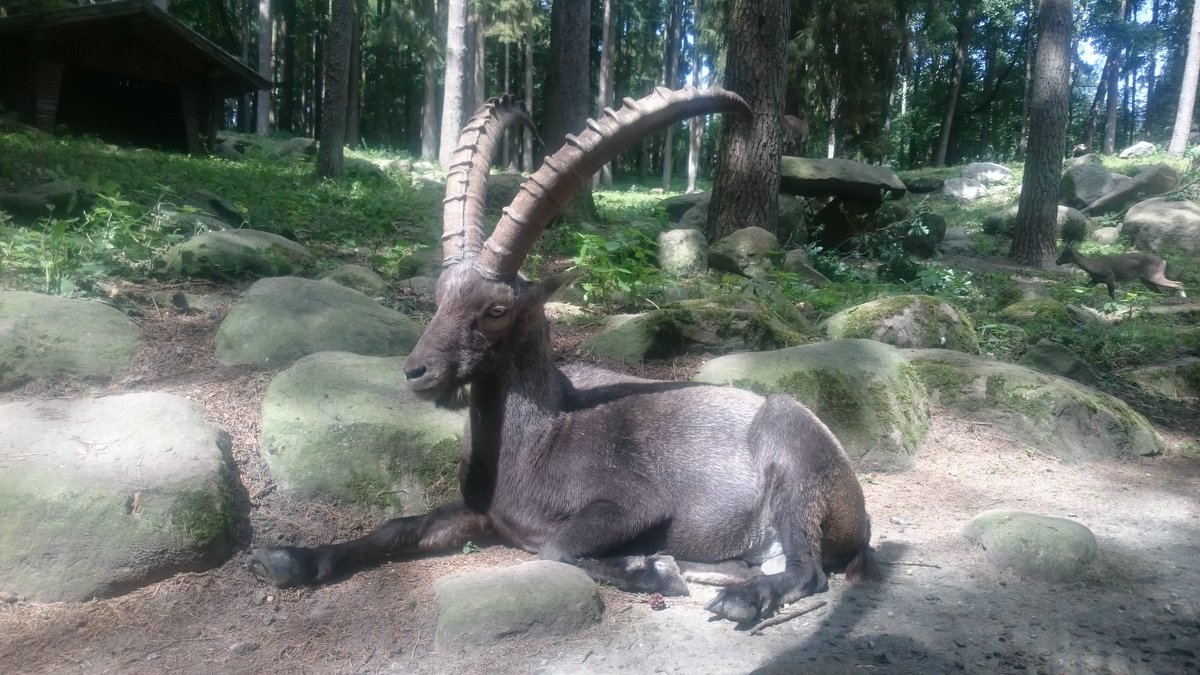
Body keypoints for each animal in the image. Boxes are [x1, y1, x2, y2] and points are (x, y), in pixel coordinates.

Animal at [249, 87, 876, 625]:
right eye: (440, 295)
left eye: (497, 309)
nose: (417, 371)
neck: (532, 445)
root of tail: (856, 510)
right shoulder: (480, 511)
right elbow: (397, 527)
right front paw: (288, 559)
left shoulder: (632, 502)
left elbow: (554, 546)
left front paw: (651, 570)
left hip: (793, 459)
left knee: (808, 569)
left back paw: (736, 597)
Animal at [1056, 246, 1185, 298]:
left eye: (1064, 254)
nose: (1057, 261)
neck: (1093, 266)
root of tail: (1163, 261)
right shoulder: (1095, 280)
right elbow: (1084, 287)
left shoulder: (1110, 277)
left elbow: (1112, 295)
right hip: (1146, 280)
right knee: (1161, 292)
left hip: (1154, 275)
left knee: (1177, 283)